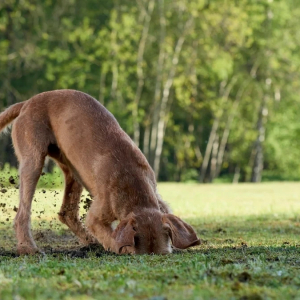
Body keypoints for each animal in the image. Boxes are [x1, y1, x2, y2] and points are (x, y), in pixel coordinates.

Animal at [0, 90, 202, 254]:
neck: (133, 186)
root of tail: (26, 103)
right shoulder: (96, 217)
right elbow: (112, 239)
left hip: (72, 171)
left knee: (67, 213)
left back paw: (90, 242)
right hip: (33, 161)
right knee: (22, 214)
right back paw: (28, 248)